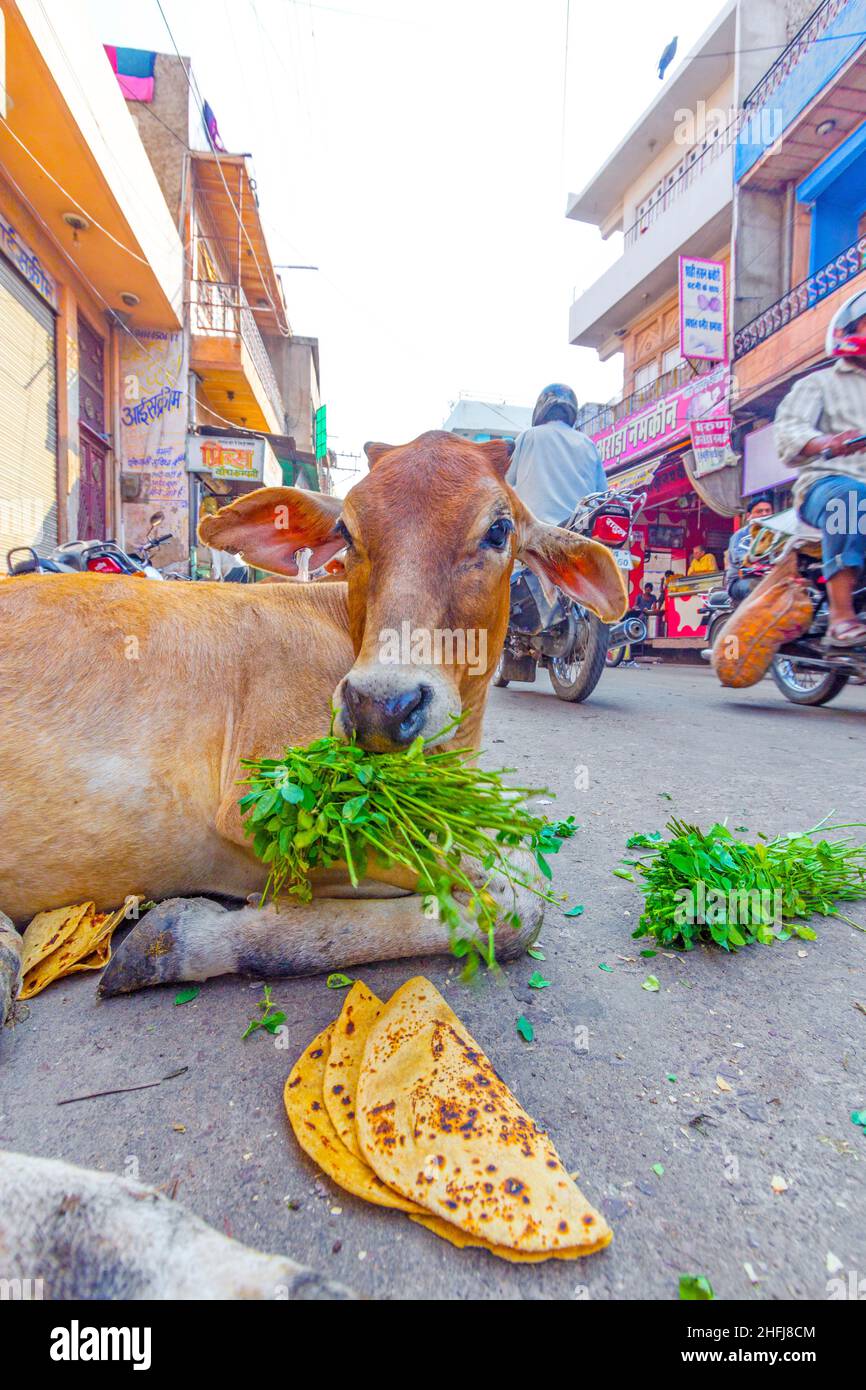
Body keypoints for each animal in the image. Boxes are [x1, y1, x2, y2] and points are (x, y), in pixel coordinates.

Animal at [0, 431, 626, 995]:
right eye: (346, 531)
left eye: (499, 530)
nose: (380, 706)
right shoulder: (258, 808)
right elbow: (512, 901)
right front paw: (180, 938)